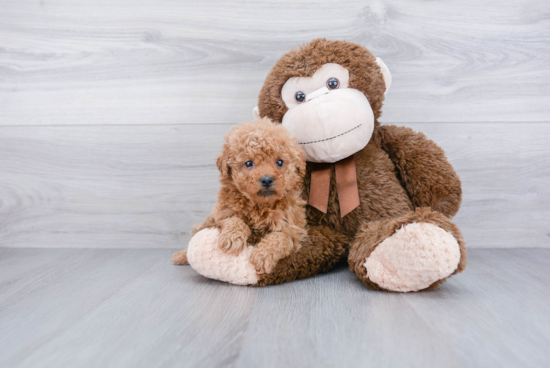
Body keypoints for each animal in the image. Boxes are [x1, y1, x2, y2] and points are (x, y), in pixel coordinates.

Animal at [172, 116, 308, 274]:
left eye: (280, 162)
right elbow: (234, 219)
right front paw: (232, 238)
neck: (259, 206)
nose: (267, 180)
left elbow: (281, 237)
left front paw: (263, 255)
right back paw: (180, 256)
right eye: (248, 163)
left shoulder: (295, 229)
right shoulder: (223, 212)